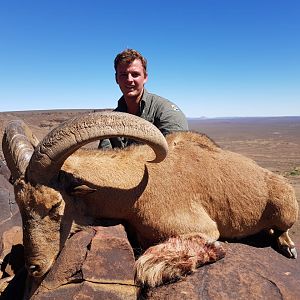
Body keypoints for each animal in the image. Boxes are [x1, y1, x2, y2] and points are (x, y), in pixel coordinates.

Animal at [1, 111, 298, 288]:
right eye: (20, 206)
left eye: (54, 205)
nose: (34, 267)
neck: (133, 188)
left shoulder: (200, 227)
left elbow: (146, 264)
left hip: (286, 207)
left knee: (282, 228)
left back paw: (288, 246)